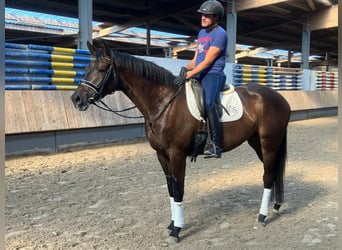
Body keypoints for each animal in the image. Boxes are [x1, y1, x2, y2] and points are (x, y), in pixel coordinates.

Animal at [71, 41, 290, 244]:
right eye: (87, 68)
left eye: (101, 69)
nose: (76, 98)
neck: (164, 103)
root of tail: (280, 98)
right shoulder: (161, 154)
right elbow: (170, 188)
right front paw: (172, 224)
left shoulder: (176, 154)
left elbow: (179, 190)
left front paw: (176, 231)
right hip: (257, 142)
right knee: (273, 172)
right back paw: (275, 206)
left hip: (269, 143)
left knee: (268, 175)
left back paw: (262, 216)